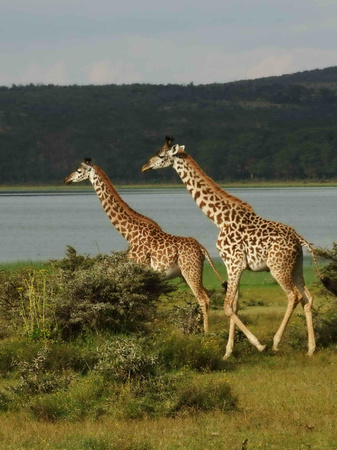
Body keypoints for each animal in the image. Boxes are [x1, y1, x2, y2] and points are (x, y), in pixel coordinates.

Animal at [64, 157, 226, 330]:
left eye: (79, 170)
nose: (66, 179)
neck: (129, 233)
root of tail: (202, 249)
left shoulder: (138, 268)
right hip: (188, 272)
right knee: (206, 295)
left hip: (190, 271)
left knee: (203, 298)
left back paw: (205, 332)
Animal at [141, 135, 336, 356]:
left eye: (161, 155)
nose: (145, 166)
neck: (219, 219)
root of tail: (299, 239)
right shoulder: (235, 265)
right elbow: (234, 306)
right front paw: (228, 352)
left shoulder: (233, 263)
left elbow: (227, 307)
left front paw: (258, 345)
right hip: (297, 267)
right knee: (307, 298)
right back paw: (311, 348)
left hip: (278, 267)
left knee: (293, 296)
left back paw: (276, 342)